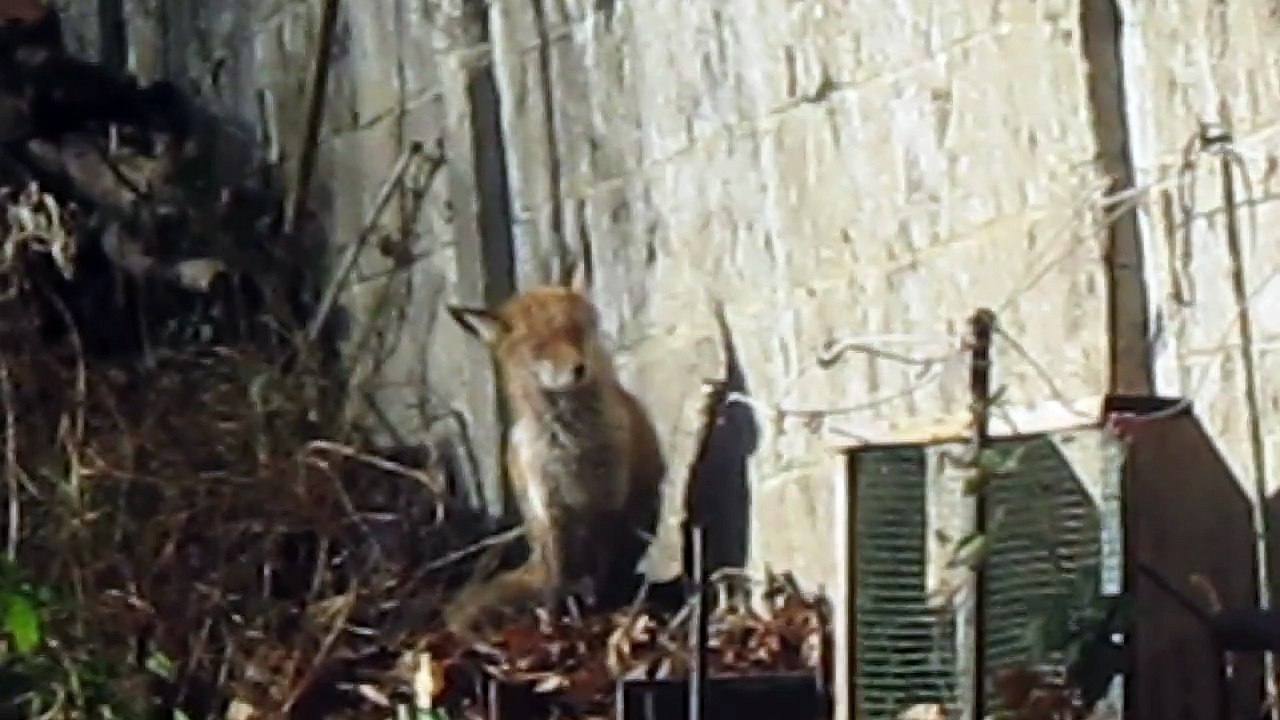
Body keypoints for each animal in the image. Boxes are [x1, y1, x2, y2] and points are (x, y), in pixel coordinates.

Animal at [442, 262, 666, 634]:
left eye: (576, 330)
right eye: (539, 347)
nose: (579, 368)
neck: (573, 443)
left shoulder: (611, 501)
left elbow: (606, 573)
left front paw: (603, 615)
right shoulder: (551, 509)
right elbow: (556, 585)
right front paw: (557, 628)